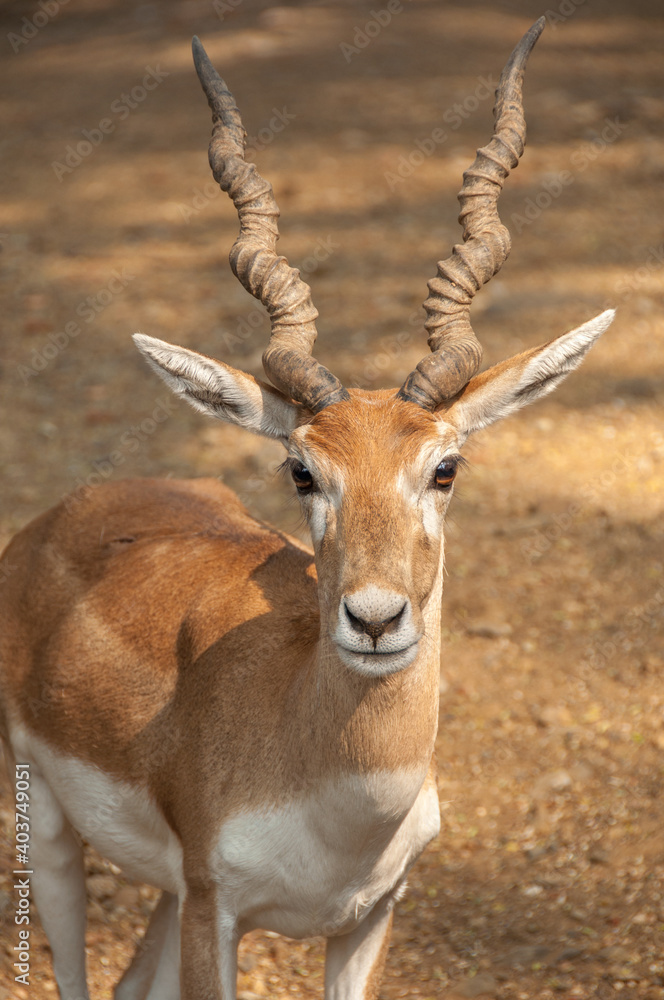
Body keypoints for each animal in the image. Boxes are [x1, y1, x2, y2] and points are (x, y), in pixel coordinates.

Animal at [0, 18, 613, 1000]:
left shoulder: (365, 919)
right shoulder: (218, 916)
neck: (336, 793)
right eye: (301, 471)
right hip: (50, 830)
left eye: (445, 467)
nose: (376, 619)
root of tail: (72, 508)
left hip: (168, 890)